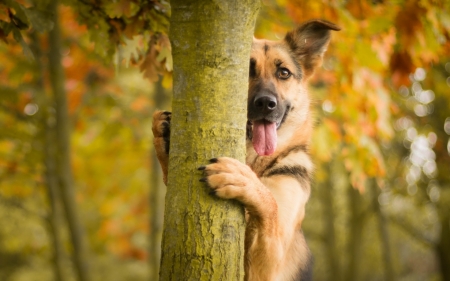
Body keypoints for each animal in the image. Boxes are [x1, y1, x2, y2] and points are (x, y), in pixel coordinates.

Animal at [153, 20, 340, 280]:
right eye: (247, 71)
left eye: (284, 73)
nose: (266, 104)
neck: (255, 160)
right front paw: (163, 134)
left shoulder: (269, 265)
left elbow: (270, 204)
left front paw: (241, 178)